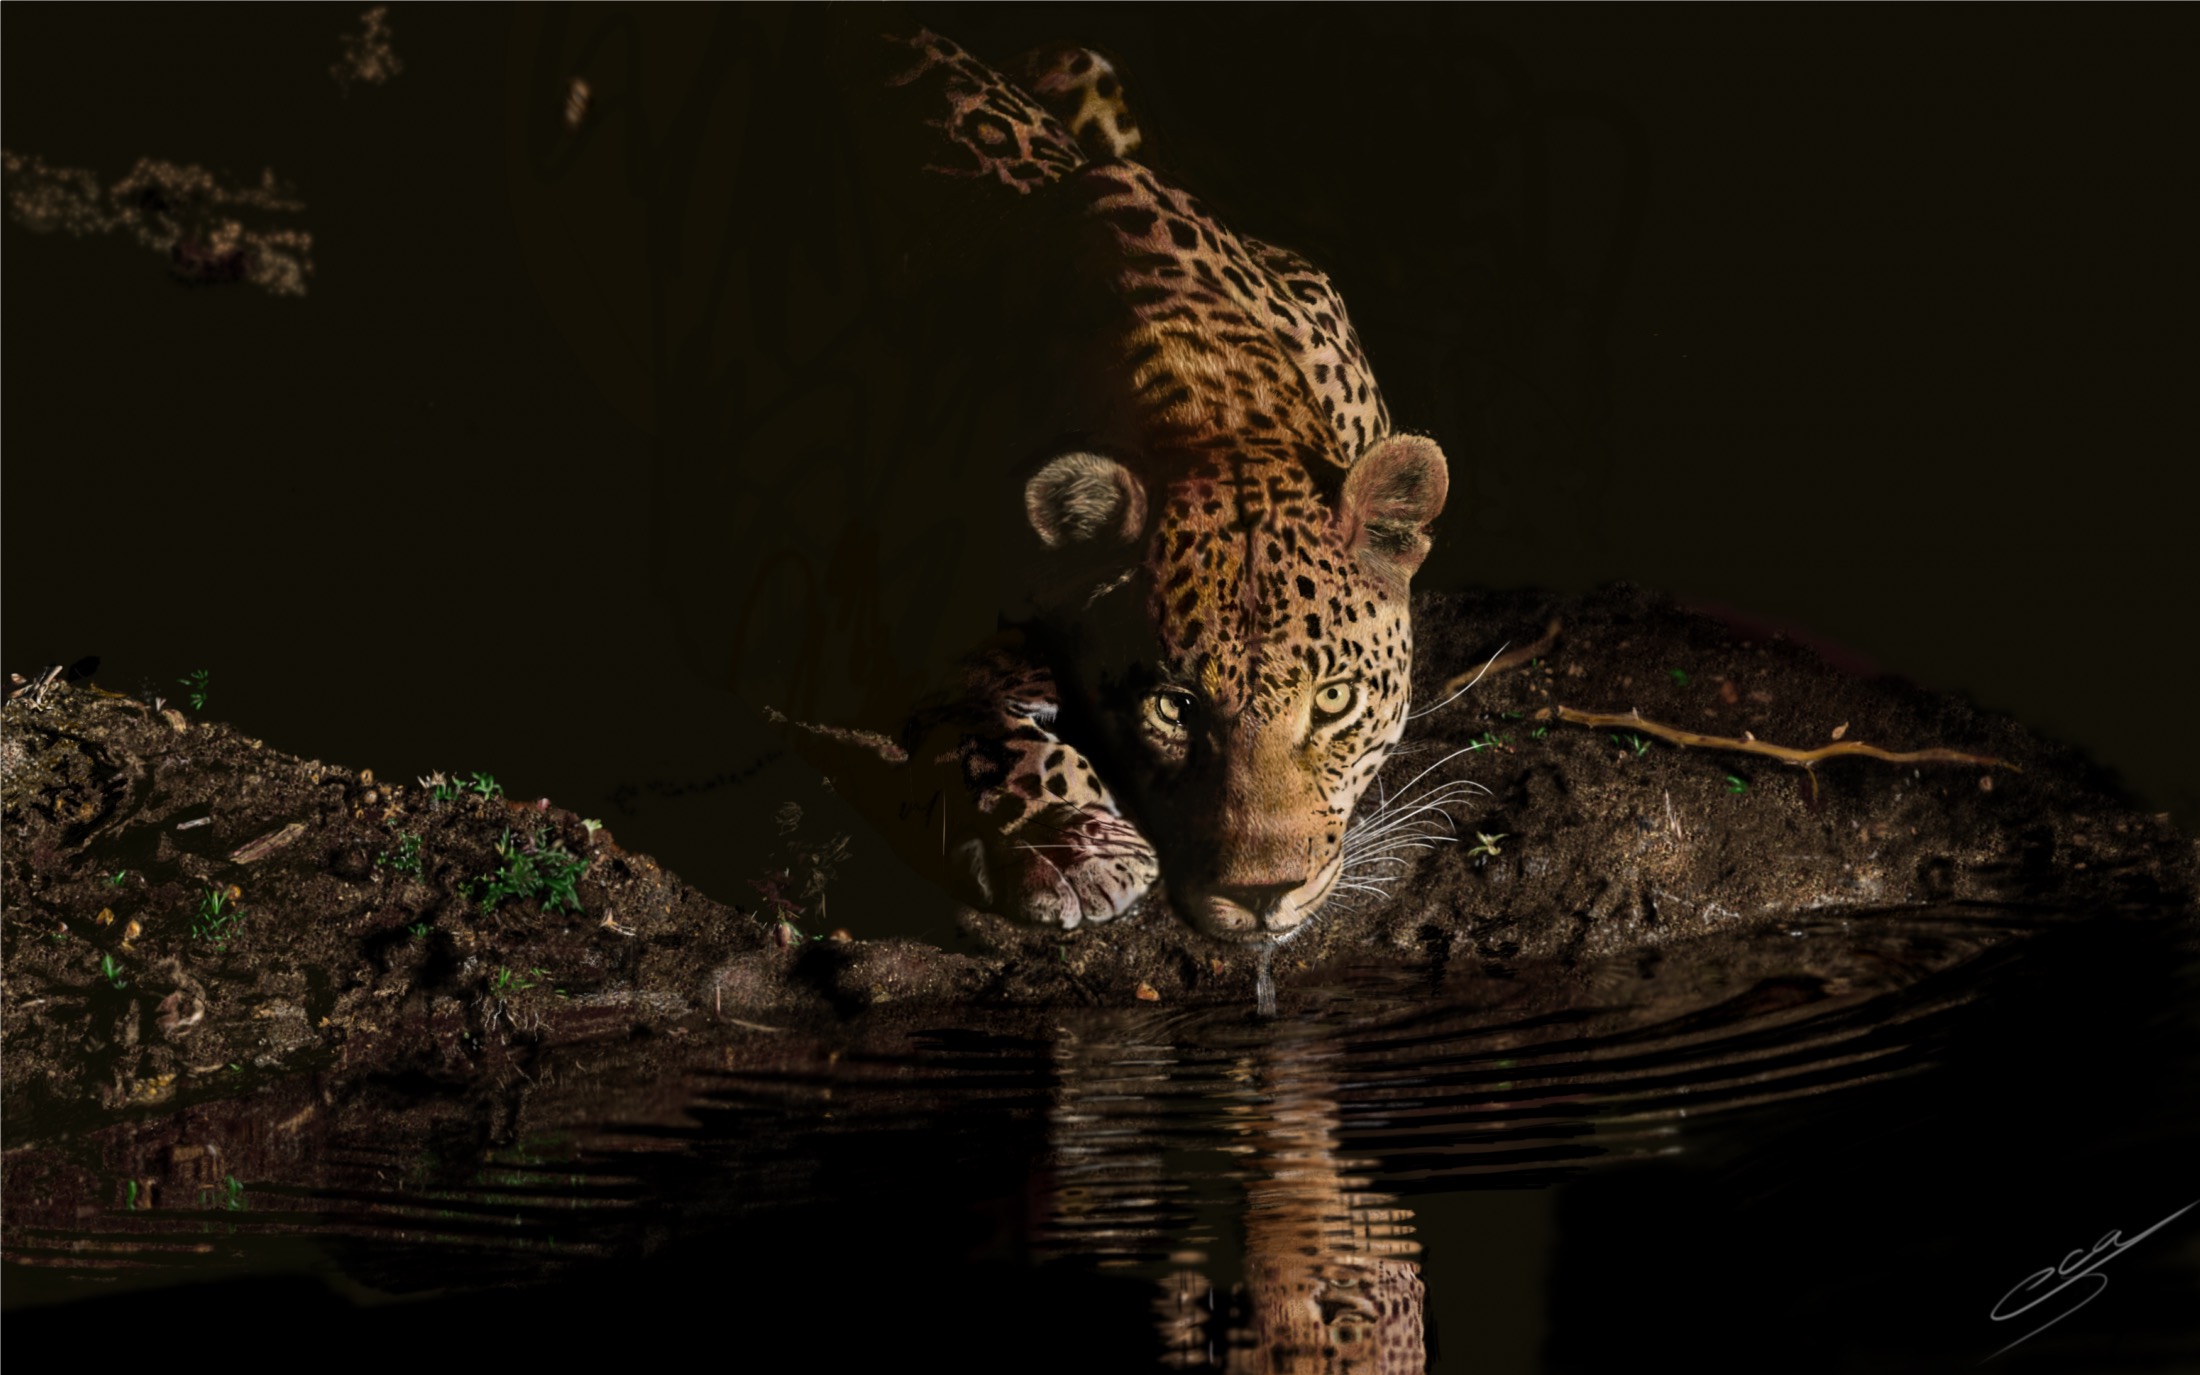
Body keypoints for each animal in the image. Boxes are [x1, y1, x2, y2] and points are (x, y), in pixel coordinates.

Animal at [781, 30, 1450, 944]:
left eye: (1337, 699)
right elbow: (974, 706)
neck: (1202, 394)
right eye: (1173, 709)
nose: (1262, 895)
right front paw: (1069, 841)